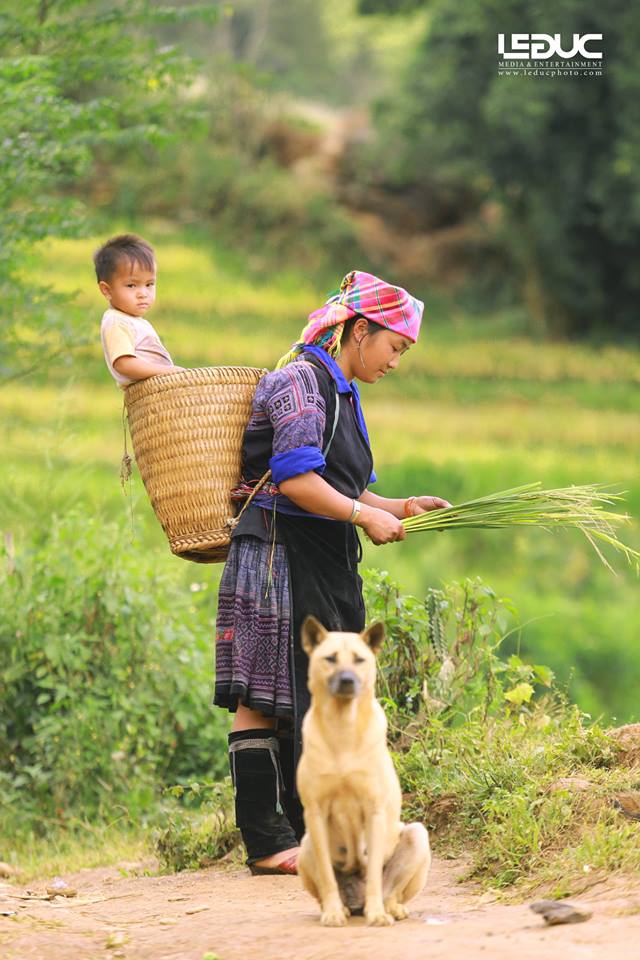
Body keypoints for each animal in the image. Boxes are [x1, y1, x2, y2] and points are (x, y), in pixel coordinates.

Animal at [296, 620, 430, 928]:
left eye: (360, 659)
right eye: (330, 658)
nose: (347, 680)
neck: (343, 726)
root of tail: (355, 902)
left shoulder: (374, 810)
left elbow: (374, 877)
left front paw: (378, 914)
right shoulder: (315, 812)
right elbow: (327, 876)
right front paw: (333, 913)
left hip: (417, 835)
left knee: (391, 890)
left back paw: (390, 909)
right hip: (305, 845)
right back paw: (339, 908)